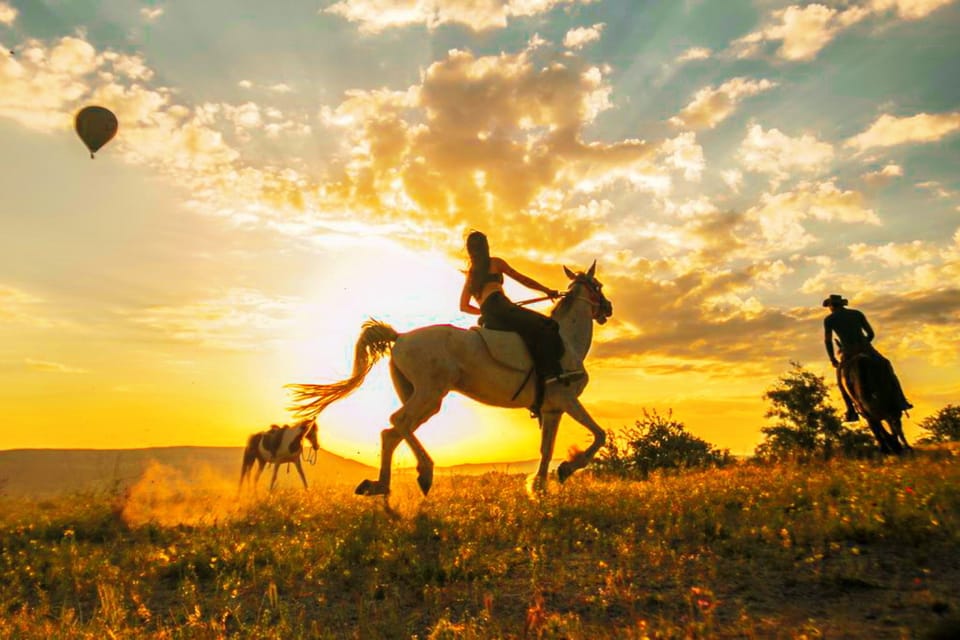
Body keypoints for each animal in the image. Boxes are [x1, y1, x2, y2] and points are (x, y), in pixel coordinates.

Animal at [286, 262, 616, 498]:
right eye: (598, 285)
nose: (608, 309)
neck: (566, 340)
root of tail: (400, 337)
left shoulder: (552, 408)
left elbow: (546, 450)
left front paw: (540, 488)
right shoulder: (566, 399)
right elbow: (599, 435)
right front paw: (568, 469)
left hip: (426, 400)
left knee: (391, 432)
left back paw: (380, 486)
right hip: (430, 393)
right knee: (398, 422)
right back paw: (425, 472)